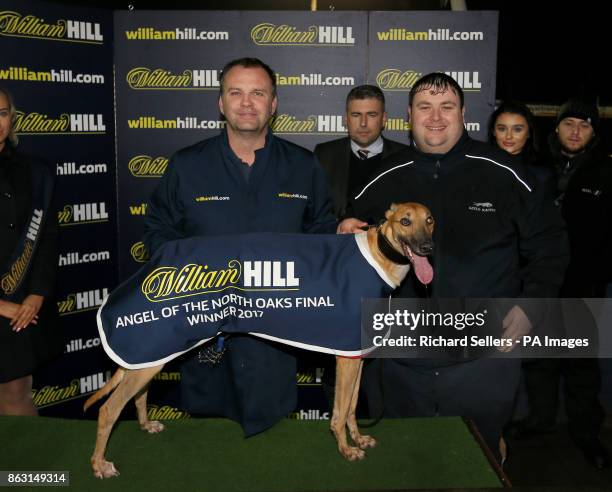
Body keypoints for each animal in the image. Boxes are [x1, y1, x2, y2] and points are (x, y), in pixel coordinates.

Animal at [85, 202, 436, 478]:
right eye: (405, 221)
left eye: (429, 219)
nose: (427, 248)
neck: (378, 255)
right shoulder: (346, 359)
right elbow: (338, 412)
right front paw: (345, 449)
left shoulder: (356, 355)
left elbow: (350, 408)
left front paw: (358, 439)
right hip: (150, 350)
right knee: (108, 410)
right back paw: (100, 464)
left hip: (153, 354)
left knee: (138, 395)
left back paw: (146, 426)